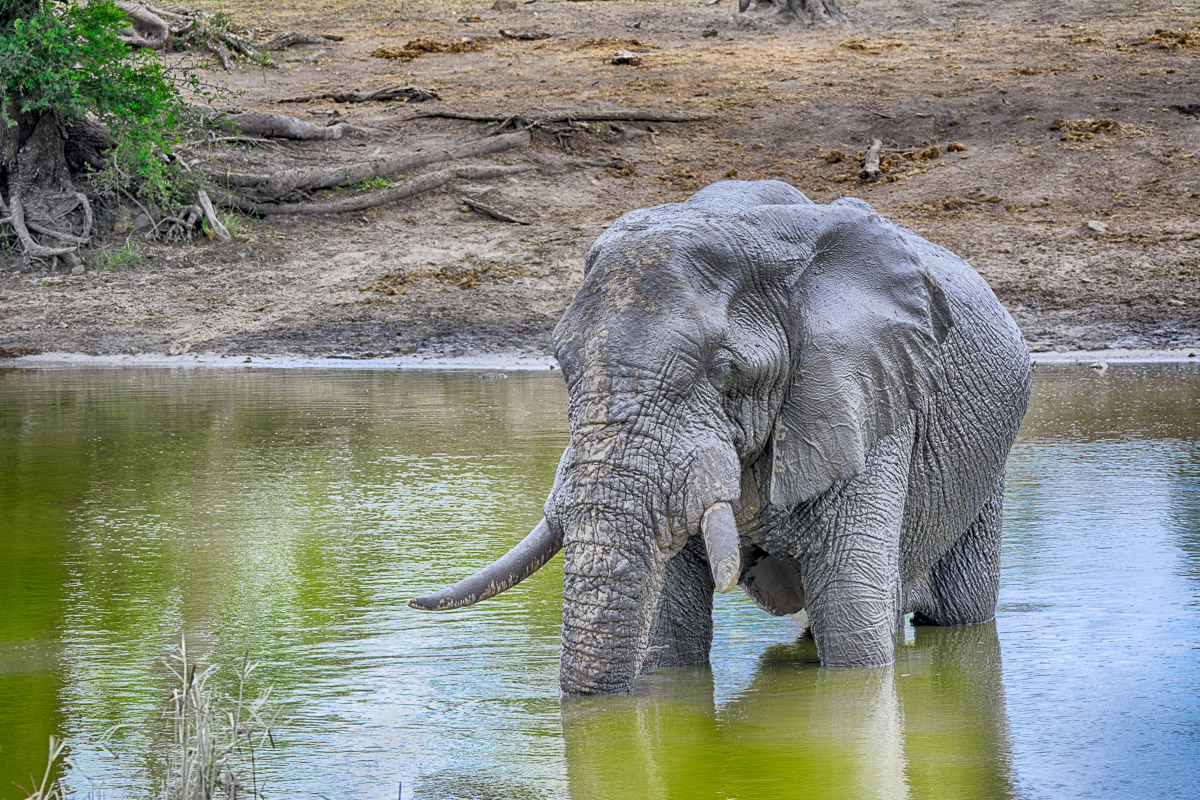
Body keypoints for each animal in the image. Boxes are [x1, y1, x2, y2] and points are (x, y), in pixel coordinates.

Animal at [411, 180, 1032, 695]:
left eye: (723, 368)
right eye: (562, 364)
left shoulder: (867, 398)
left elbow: (853, 624)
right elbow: (672, 635)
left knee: (956, 613)